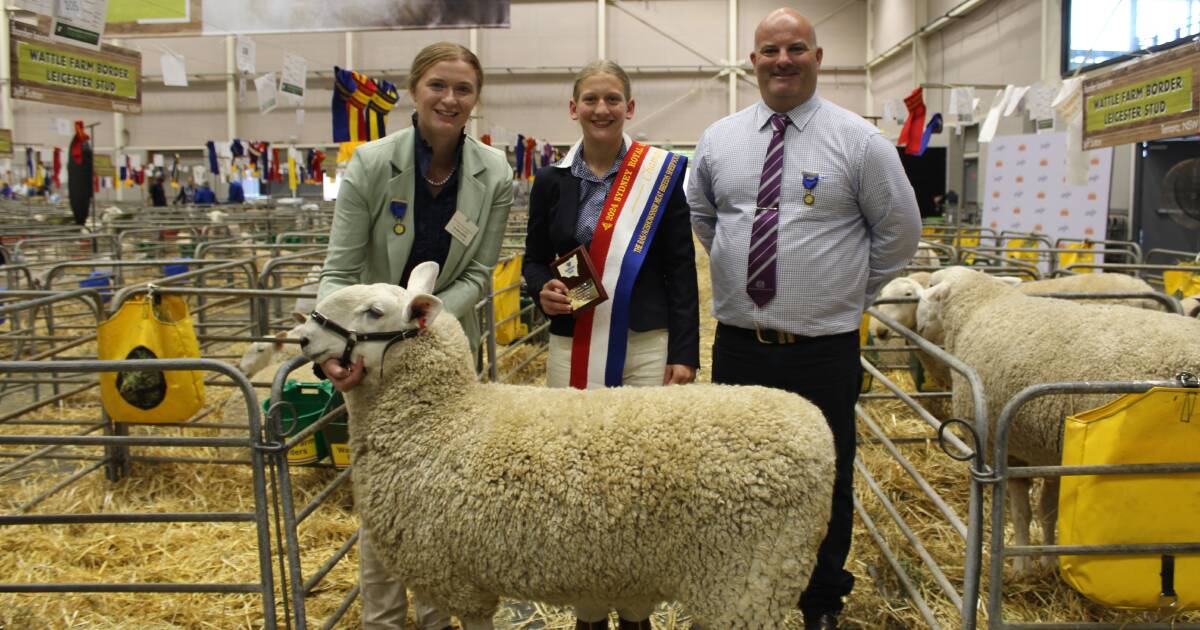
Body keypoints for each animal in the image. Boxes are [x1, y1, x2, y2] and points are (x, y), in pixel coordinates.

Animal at [292, 262, 835, 628]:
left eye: (374, 312)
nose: (302, 337)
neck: (440, 418)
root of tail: (817, 427)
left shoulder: (459, 580)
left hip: (749, 582)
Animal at [912, 267, 1195, 571]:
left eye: (930, 286)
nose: (917, 325)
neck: (980, 306)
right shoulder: (1051, 452)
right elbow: (1047, 510)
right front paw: (1048, 560)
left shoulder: (1006, 448)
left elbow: (1020, 512)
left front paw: (1021, 565)